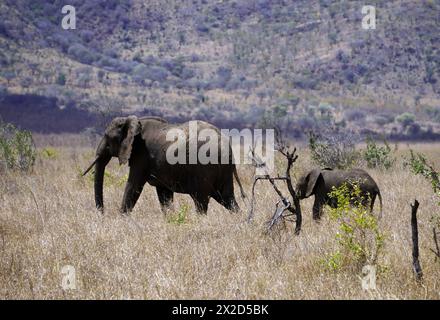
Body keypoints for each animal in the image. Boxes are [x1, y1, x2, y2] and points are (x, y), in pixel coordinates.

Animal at [82, 116, 246, 214]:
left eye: (107, 137)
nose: (102, 213)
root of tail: (226, 143)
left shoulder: (141, 155)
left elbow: (133, 186)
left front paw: (121, 219)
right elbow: (164, 195)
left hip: (204, 168)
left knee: (201, 201)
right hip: (222, 170)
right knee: (228, 199)